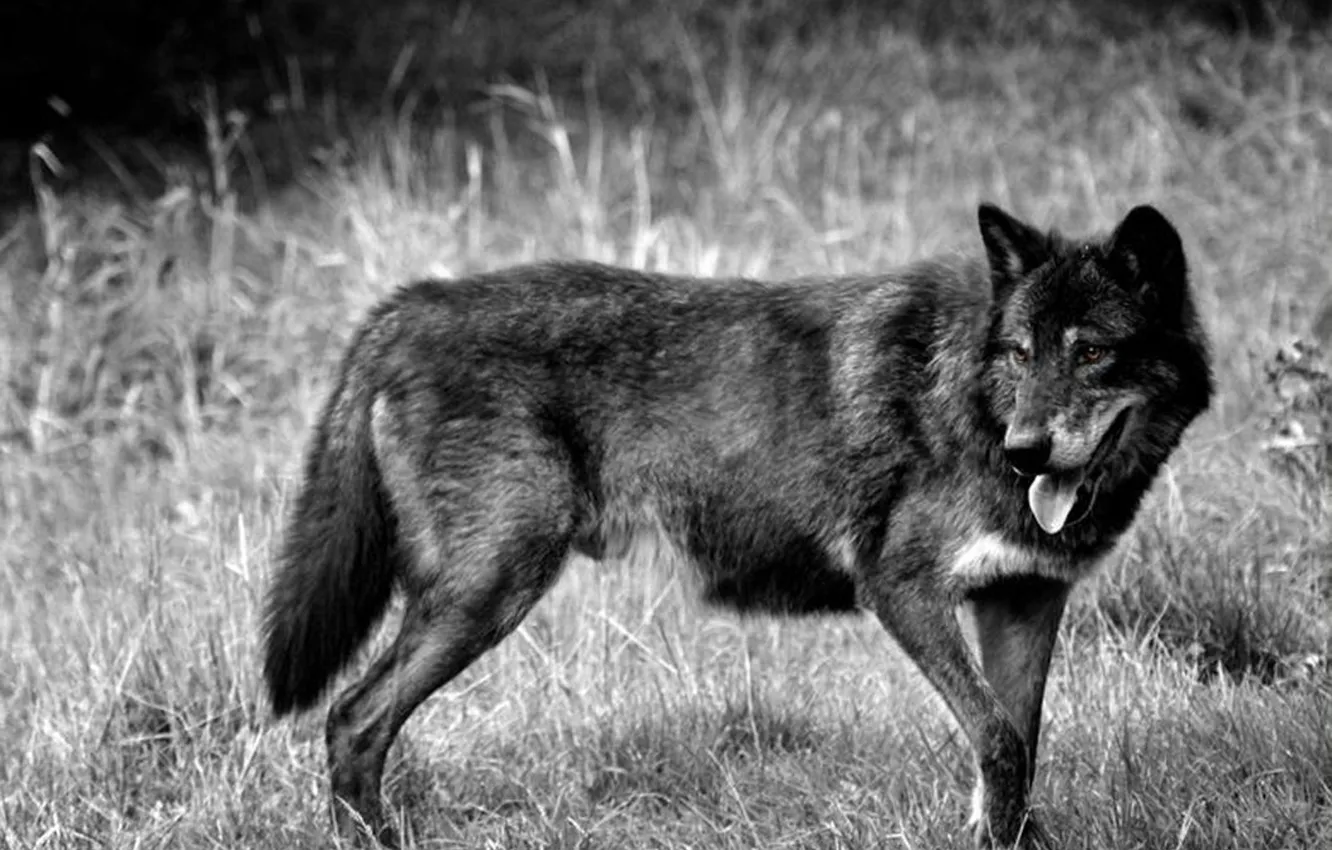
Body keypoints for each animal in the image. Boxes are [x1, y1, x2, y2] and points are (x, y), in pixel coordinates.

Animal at [262, 202, 1212, 847]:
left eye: (1091, 352)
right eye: (1019, 352)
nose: (1026, 452)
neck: (972, 403)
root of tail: (407, 304)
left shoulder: (1022, 601)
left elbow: (1017, 747)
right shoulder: (902, 590)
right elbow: (996, 741)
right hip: (489, 592)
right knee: (352, 719)